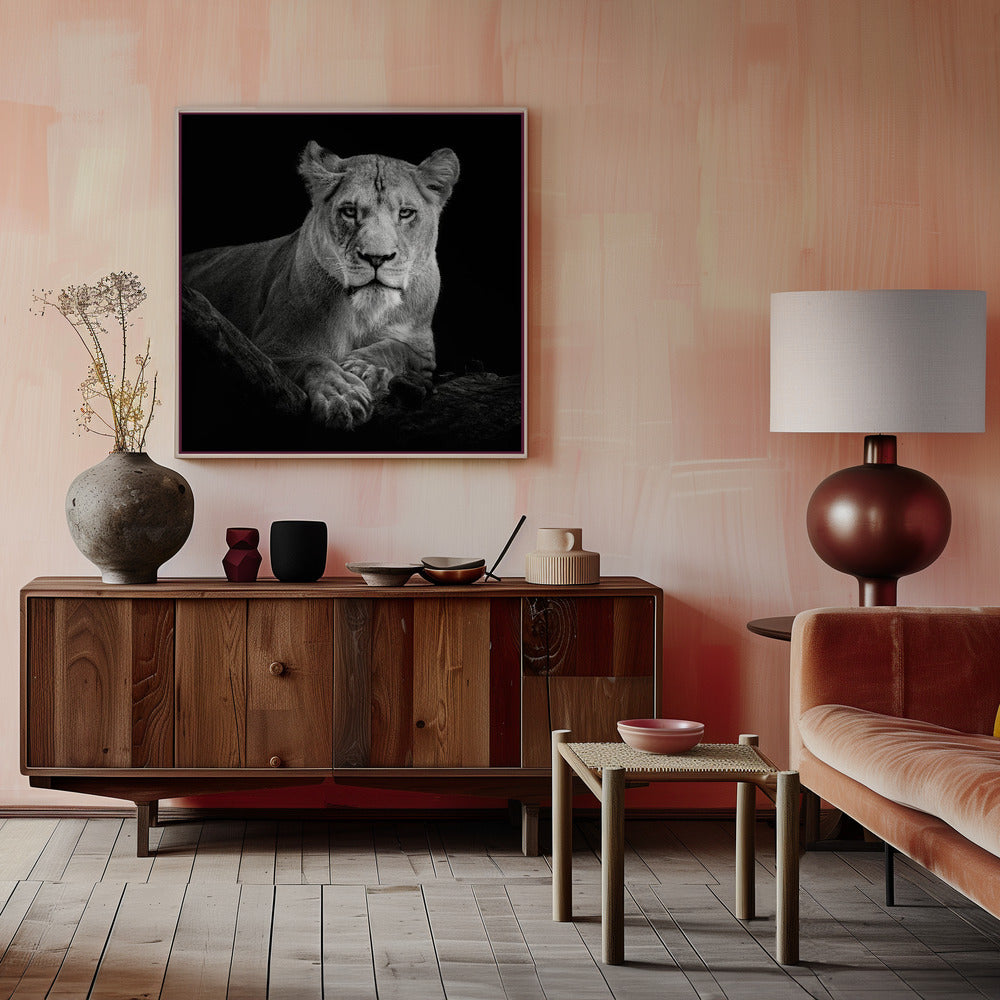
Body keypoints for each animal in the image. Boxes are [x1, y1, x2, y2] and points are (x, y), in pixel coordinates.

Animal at [182, 141, 460, 430]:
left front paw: (364, 367)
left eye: (406, 213)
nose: (376, 258)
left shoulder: (423, 351)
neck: (364, 313)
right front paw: (342, 395)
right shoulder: (266, 351)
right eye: (349, 211)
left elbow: (397, 348)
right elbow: (314, 361)